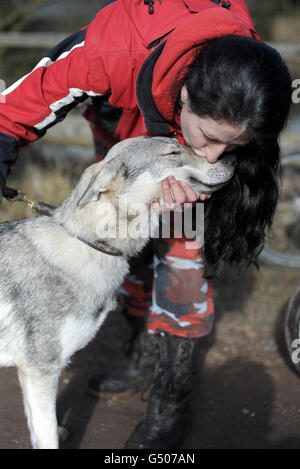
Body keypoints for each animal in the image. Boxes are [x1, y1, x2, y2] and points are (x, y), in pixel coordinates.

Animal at [0, 136, 234, 450]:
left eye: (183, 144)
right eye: (173, 152)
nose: (232, 159)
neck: (88, 244)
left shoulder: (33, 372)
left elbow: (39, 426)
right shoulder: (40, 370)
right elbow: (46, 433)